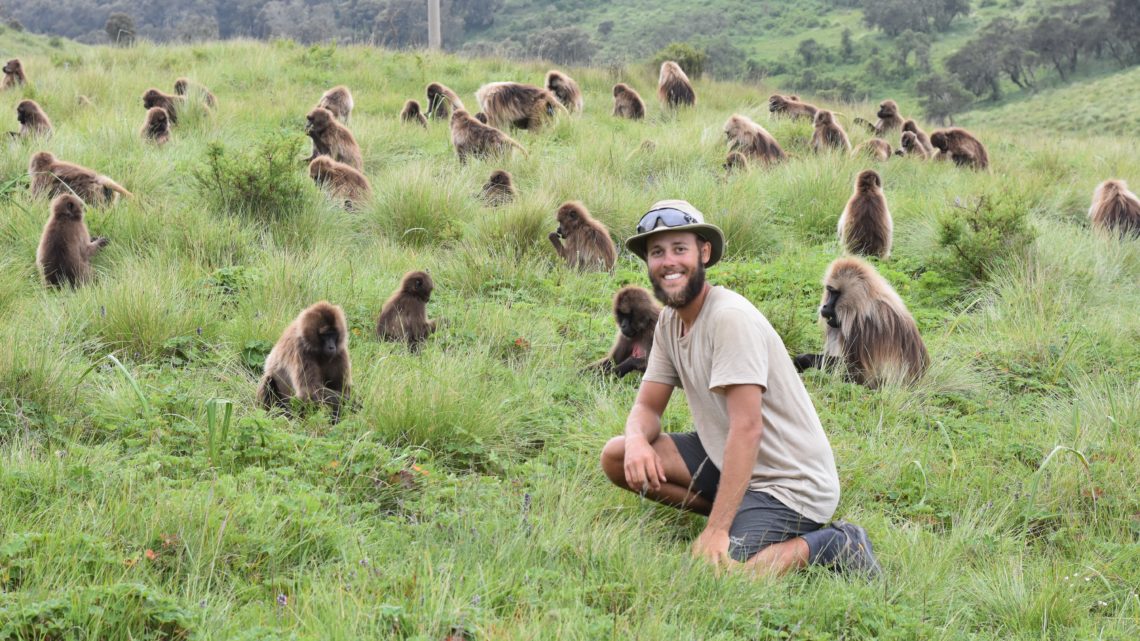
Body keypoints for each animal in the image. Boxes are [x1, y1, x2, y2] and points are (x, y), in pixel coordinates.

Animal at [798, 255, 930, 387]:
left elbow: (857, 370)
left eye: (835, 293)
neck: (861, 306)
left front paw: (802, 360)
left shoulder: (864, 327)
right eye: (829, 291)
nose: (825, 306)